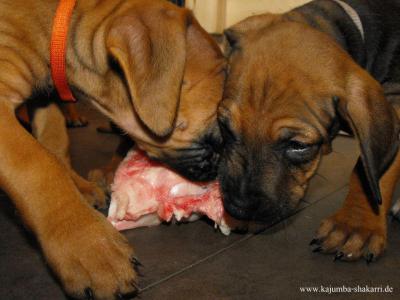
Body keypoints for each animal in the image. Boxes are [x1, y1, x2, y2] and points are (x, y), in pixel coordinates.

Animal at [0, 0, 225, 298]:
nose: (221, 177)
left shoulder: (45, 97)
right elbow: (37, 164)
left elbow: (54, 145)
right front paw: (89, 247)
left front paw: (80, 189)